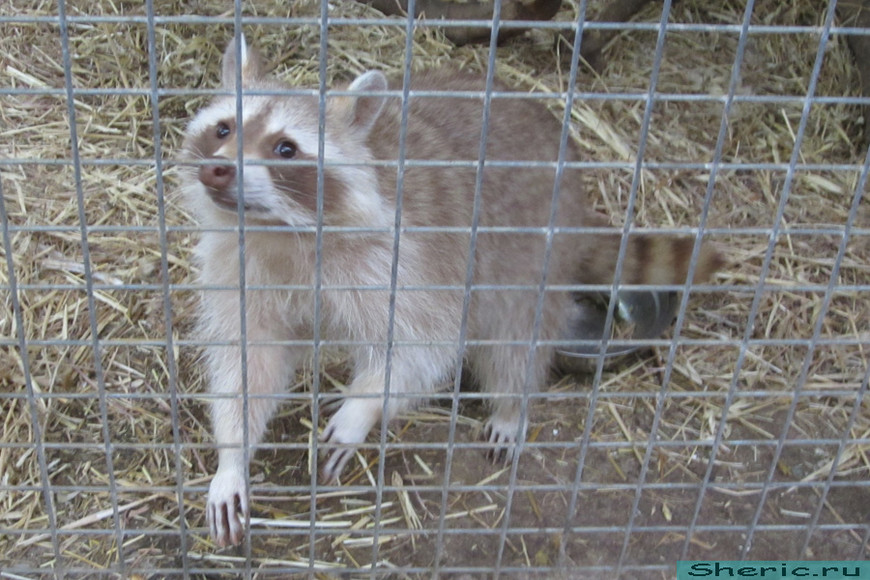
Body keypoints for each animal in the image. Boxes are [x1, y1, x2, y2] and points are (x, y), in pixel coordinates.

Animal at [181, 37, 724, 548]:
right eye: (224, 129)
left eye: (285, 149)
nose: (217, 169)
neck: (277, 230)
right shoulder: (242, 267)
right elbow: (249, 361)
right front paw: (232, 456)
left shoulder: (406, 260)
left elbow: (424, 345)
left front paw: (365, 405)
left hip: (530, 251)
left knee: (514, 336)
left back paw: (510, 404)